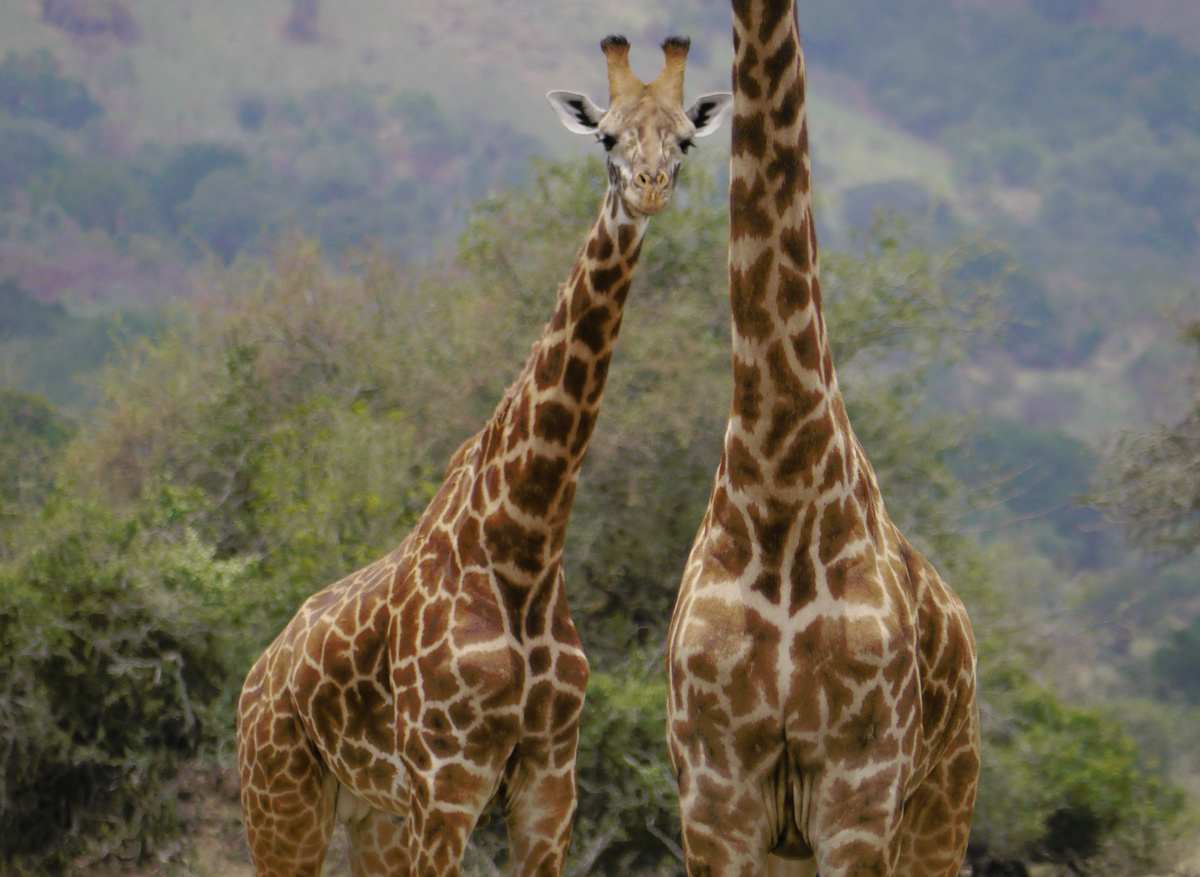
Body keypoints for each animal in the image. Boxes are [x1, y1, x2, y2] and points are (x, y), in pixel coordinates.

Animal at [236, 35, 731, 877]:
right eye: (606, 138)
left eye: (684, 142)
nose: (650, 187)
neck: (524, 544)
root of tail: (255, 677)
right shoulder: (447, 782)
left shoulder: (548, 782)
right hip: (282, 800)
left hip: (371, 813)